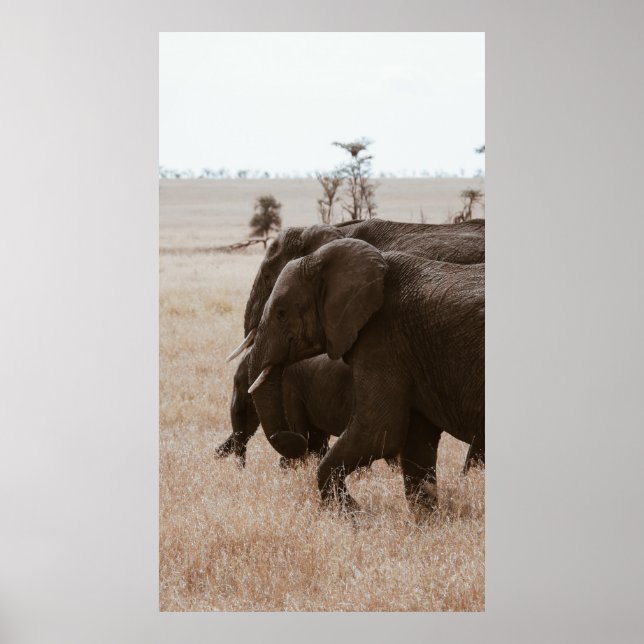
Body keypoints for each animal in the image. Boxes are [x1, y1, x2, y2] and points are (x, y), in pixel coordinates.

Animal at [246, 238, 484, 514]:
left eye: (281, 314)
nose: (293, 438)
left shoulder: (384, 339)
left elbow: (379, 432)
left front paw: (354, 515)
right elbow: (415, 444)